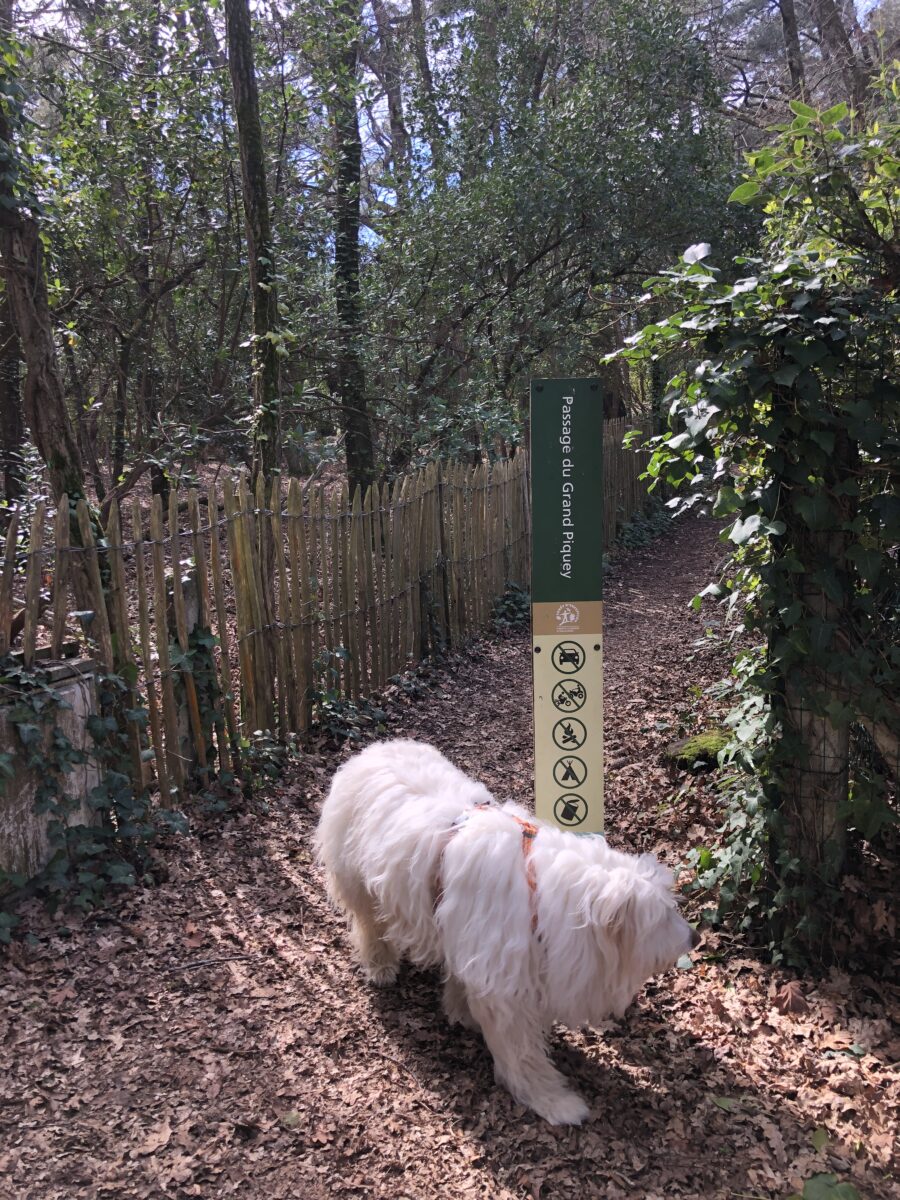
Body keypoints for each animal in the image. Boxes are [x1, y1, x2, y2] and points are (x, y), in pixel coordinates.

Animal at [316, 739, 696, 1123]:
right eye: (663, 916)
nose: (695, 938)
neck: (539, 893)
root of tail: (375, 749)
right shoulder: (506, 995)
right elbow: (522, 1056)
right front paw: (554, 1102)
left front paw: (460, 1011)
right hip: (357, 884)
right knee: (368, 926)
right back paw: (380, 965)